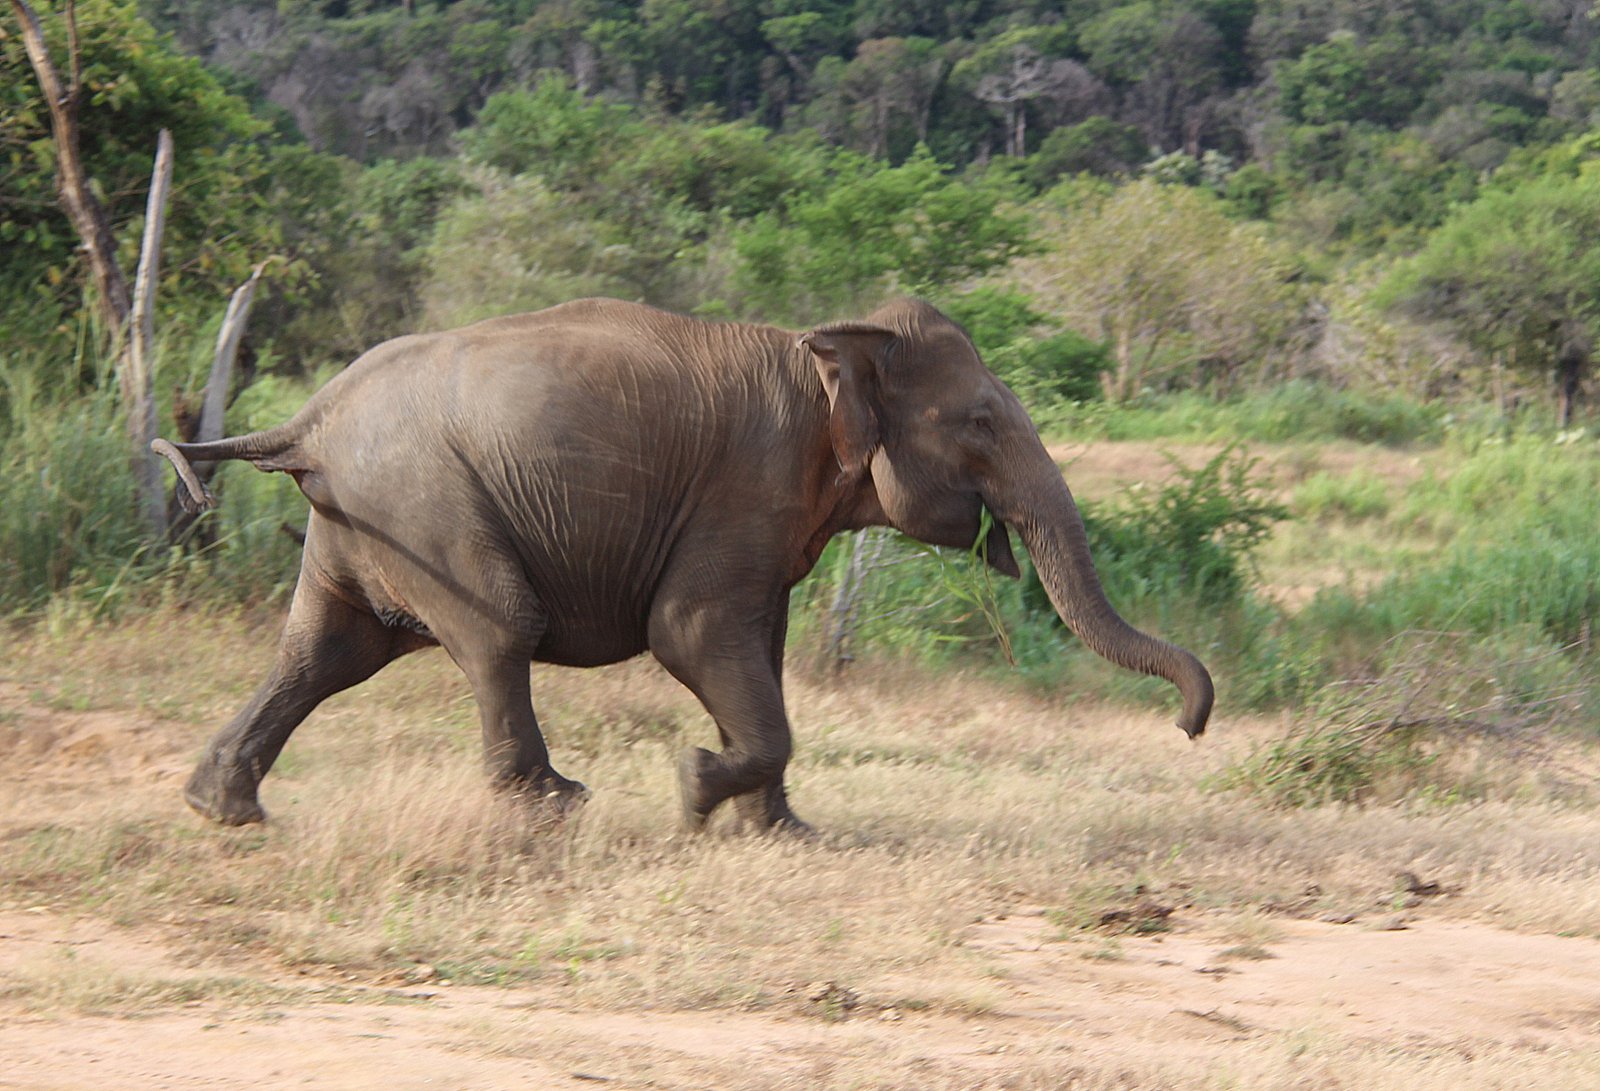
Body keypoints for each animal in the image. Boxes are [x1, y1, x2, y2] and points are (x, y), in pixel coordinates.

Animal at [159, 292, 1209, 825]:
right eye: (983, 423)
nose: (1193, 725)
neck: (826, 342)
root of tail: (308, 420)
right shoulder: (746, 485)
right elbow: (692, 633)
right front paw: (695, 786)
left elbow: (761, 652)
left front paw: (784, 835)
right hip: (423, 502)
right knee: (499, 628)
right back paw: (556, 808)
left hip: (365, 514)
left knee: (326, 652)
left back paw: (224, 810)